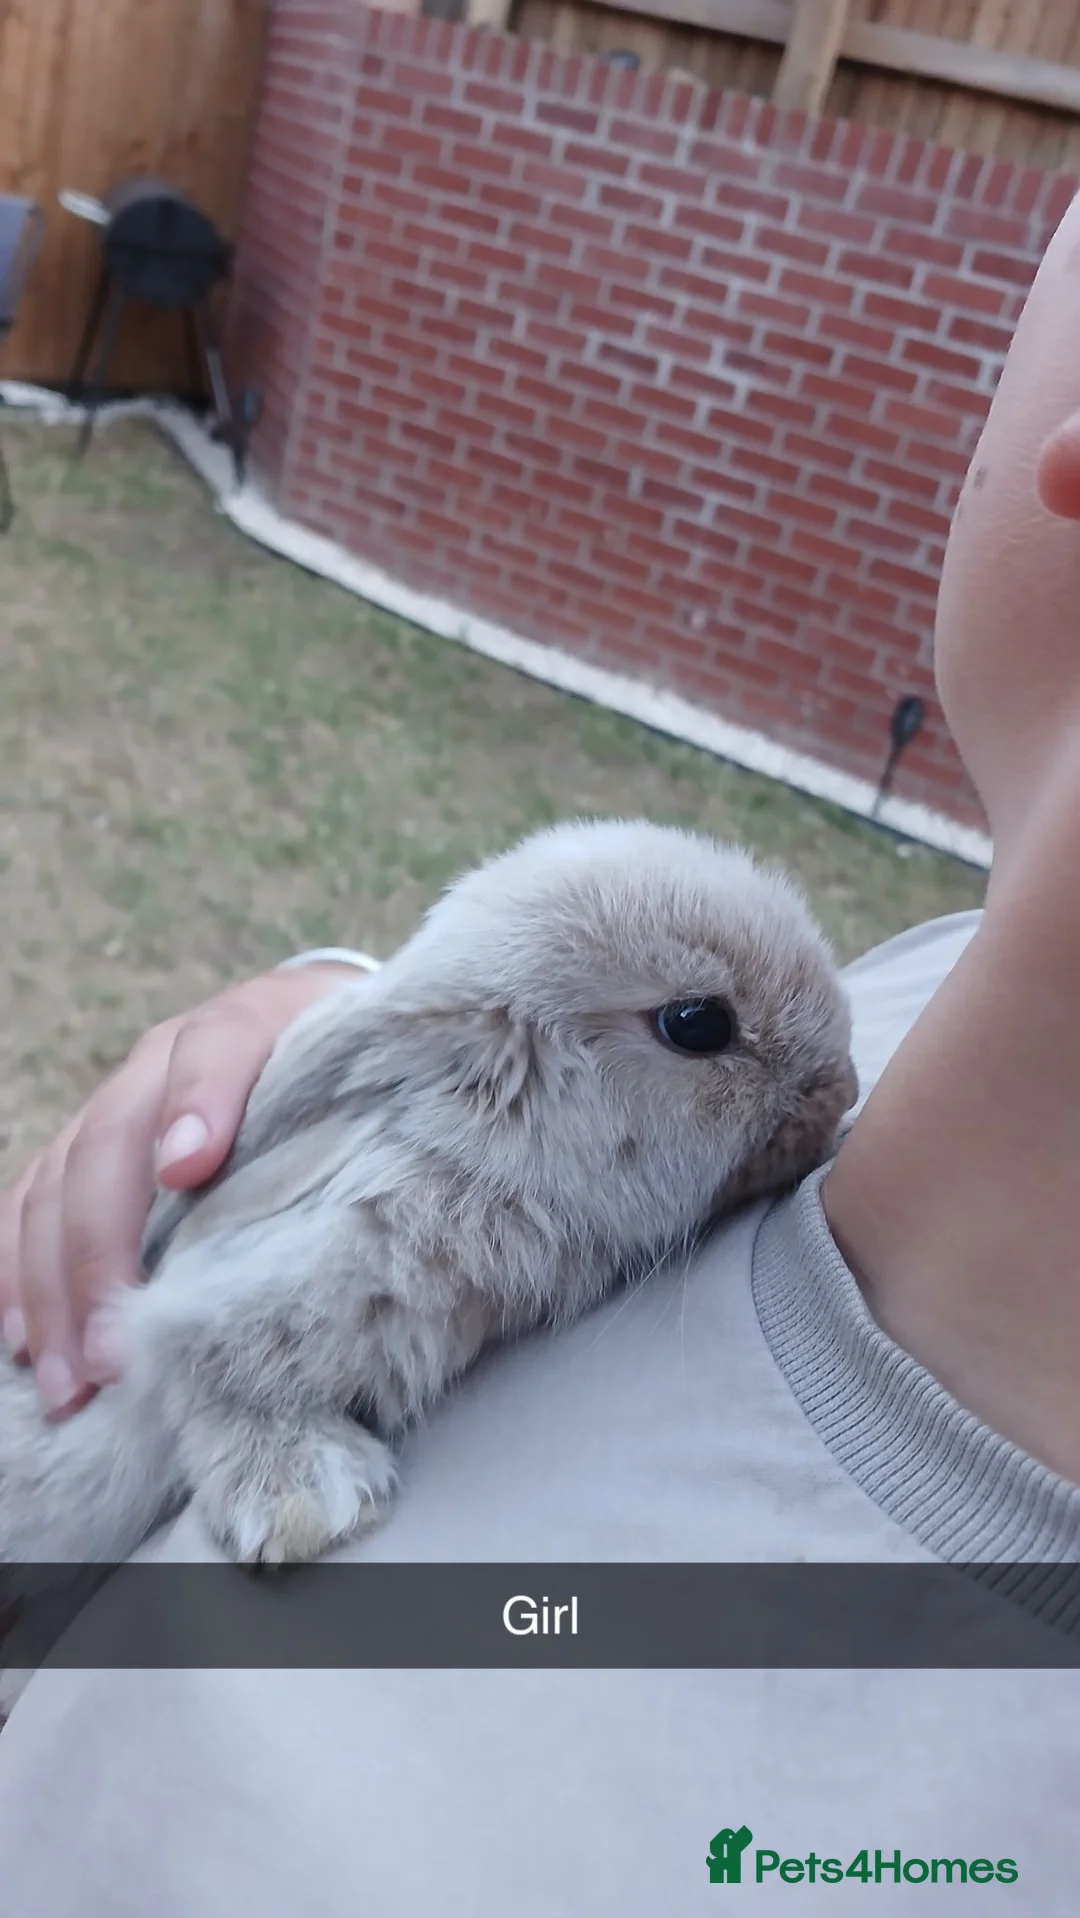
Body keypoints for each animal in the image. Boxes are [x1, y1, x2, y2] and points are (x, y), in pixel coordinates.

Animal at [0, 818, 856, 1570]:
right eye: (697, 1023)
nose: (841, 1092)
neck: (497, 1139)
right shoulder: (235, 1308)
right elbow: (207, 1385)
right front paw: (315, 1504)